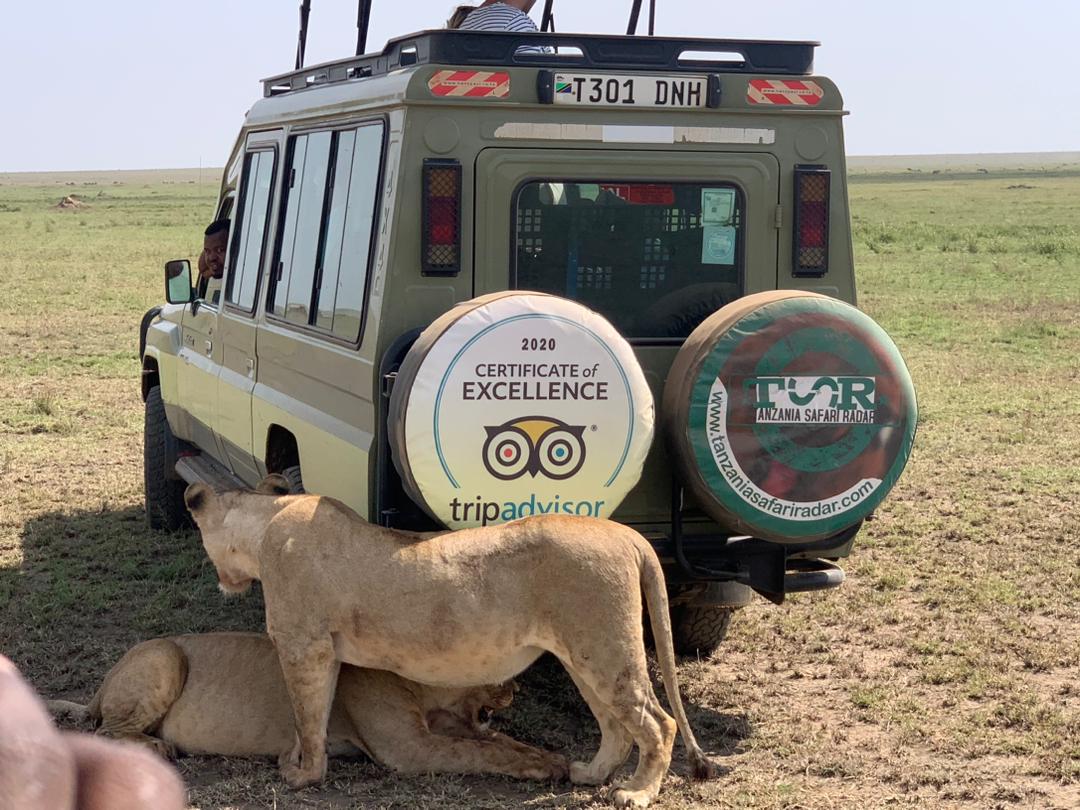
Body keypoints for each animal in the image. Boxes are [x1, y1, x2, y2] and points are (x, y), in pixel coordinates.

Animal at [46, 630, 565, 781]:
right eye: (498, 669)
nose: (516, 691)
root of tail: (103, 683)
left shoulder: (443, 727)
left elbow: (499, 742)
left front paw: (551, 758)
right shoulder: (411, 748)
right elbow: (478, 751)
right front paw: (547, 769)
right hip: (165, 656)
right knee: (105, 732)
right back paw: (157, 749)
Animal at [185, 479, 717, 807]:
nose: (222, 581)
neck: (264, 523)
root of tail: (626, 535)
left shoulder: (303, 643)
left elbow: (307, 716)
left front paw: (303, 775)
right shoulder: (322, 650)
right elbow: (309, 715)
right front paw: (296, 761)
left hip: (605, 648)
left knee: (659, 722)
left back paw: (636, 793)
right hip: (585, 654)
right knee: (615, 725)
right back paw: (588, 772)